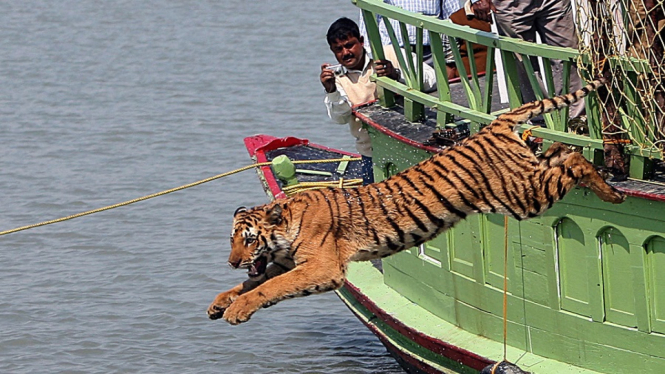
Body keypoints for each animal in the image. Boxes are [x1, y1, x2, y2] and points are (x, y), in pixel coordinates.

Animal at [206, 79, 624, 324]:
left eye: (248, 239)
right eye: (232, 240)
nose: (231, 262)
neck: (287, 226)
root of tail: (495, 123)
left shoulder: (322, 268)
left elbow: (268, 288)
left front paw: (237, 309)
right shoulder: (288, 263)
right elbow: (253, 283)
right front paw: (220, 301)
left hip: (524, 197)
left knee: (572, 159)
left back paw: (614, 192)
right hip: (525, 180)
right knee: (559, 150)